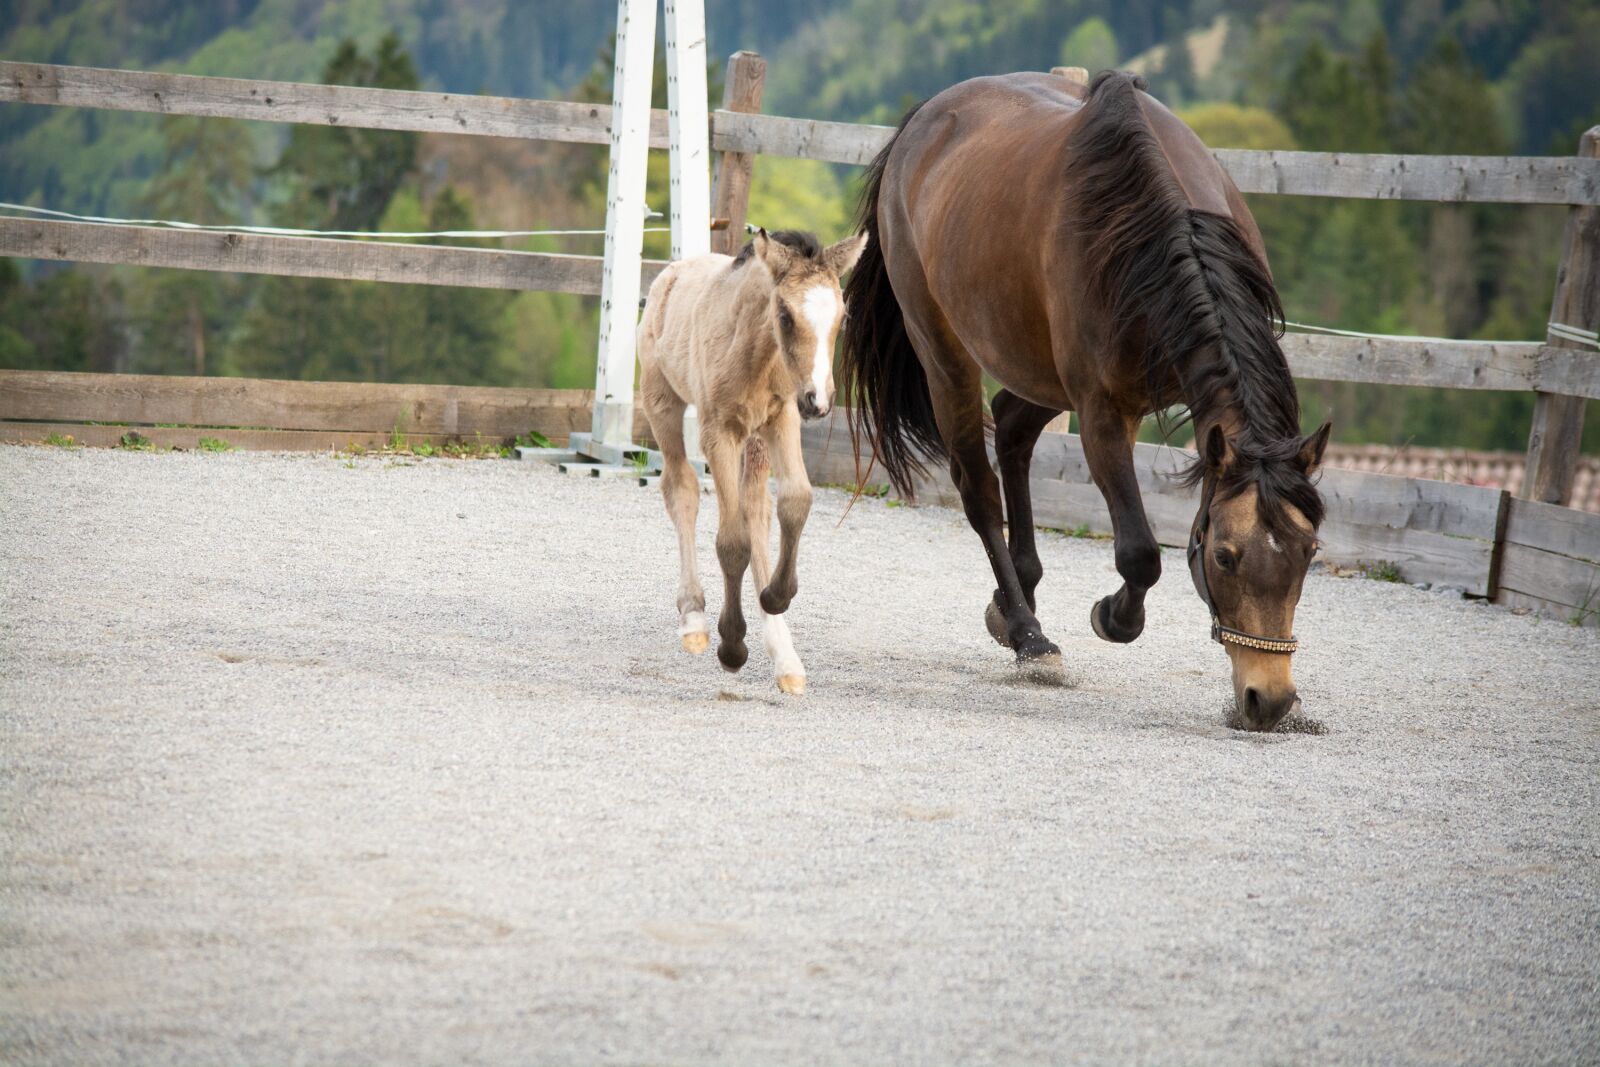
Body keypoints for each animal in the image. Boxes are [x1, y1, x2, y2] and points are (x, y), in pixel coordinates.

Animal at [639, 228, 866, 695]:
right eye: (785, 314)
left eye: (843, 316)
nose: (819, 401)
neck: (756, 354)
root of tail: (672, 271)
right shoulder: (718, 431)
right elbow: (731, 541)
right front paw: (731, 645)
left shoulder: (783, 418)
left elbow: (795, 502)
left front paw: (777, 598)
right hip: (662, 403)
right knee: (681, 489)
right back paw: (694, 617)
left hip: (756, 441)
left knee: (756, 509)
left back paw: (784, 654)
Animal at [840, 71, 1330, 732]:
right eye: (1225, 557)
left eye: (1307, 554)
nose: (1268, 699)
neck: (1156, 231)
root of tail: (924, 121)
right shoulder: (1103, 412)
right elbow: (1140, 554)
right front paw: (1113, 615)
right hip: (945, 355)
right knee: (979, 488)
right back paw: (1029, 635)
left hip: (1040, 373)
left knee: (1013, 428)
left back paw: (1013, 600)